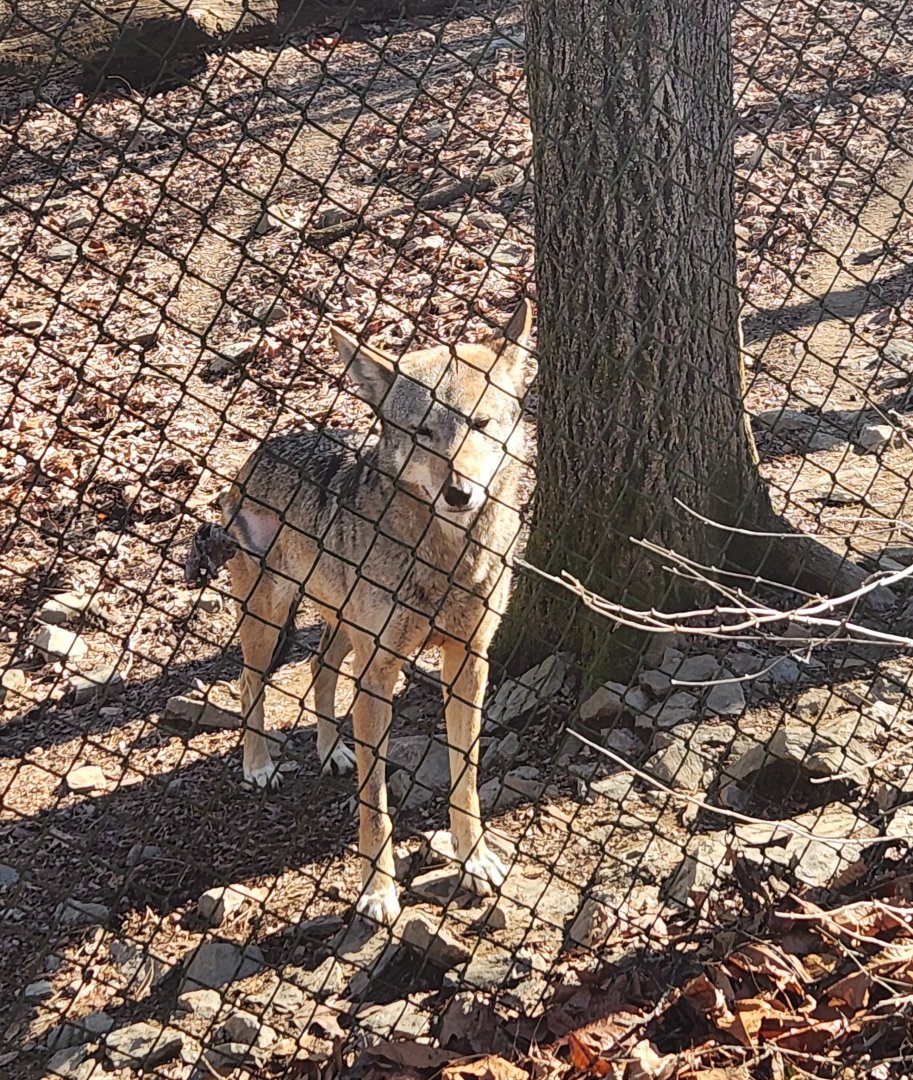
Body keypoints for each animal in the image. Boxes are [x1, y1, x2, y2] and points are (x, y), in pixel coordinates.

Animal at [185, 301, 534, 926]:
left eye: (480, 425)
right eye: (423, 433)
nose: (460, 493)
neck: (446, 555)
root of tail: (259, 452)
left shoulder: (469, 661)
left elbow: (465, 777)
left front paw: (474, 860)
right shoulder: (379, 676)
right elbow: (376, 801)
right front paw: (378, 890)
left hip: (343, 628)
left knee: (320, 667)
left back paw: (332, 751)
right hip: (270, 621)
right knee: (251, 684)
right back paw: (258, 764)